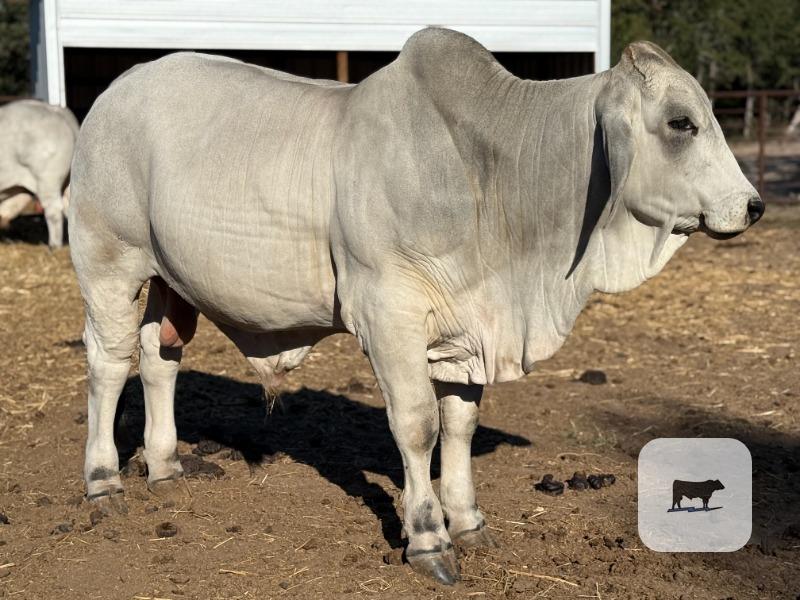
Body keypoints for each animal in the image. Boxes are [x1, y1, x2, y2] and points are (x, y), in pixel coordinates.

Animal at [69, 28, 763, 585]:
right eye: (681, 122)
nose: (753, 206)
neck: (491, 177)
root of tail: (114, 91)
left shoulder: (466, 333)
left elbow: (458, 426)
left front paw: (470, 522)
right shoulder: (389, 314)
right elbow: (417, 424)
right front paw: (428, 537)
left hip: (168, 281)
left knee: (159, 358)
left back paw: (165, 467)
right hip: (109, 265)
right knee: (110, 363)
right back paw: (104, 483)